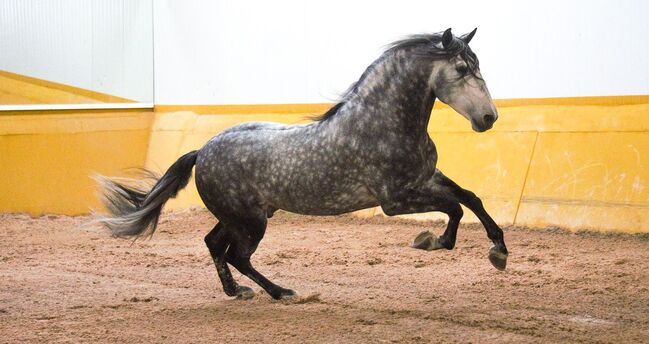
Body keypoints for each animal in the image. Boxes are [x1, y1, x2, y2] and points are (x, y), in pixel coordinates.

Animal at [96, 28, 506, 300]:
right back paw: (281, 292)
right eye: (461, 69)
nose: (489, 118)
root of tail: (202, 150)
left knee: (214, 244)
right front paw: (432, 241)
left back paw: (237, 291)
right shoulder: (396, 200)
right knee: (237, 255)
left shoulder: (427, 177)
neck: (383, 123)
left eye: (477, 65)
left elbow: (470, 198)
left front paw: (499, 251)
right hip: (250, 221)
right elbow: (454, 207)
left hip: (242, 216)